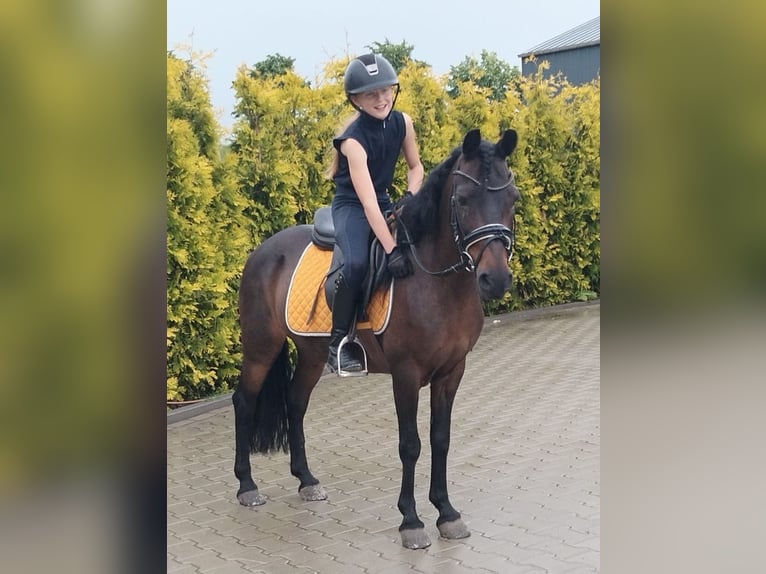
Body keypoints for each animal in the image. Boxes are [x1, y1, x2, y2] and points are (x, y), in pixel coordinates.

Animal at [233, 128, 520, 549]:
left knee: (296, 401)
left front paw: (447, 513)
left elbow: (440, 439)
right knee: (244, 402)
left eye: (512, 199)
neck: (433, 280)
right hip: (260, 348)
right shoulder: (406, 374)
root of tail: (262, 251)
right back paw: (247, 486)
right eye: (464, 199)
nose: (494, 279)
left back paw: (307, 480)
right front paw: (411, 521)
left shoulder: (452, 372)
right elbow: (410, 444)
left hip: (312, 354)